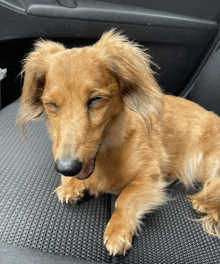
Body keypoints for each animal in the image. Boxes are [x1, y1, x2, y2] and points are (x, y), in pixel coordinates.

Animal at [15, 28, 220, 256]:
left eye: (95, 100)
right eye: (51, 104)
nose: (67, 168)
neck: (107, 151)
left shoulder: (148, 177)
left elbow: (124, 198)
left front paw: (117, 230)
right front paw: (70, 185)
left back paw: (206, 203)